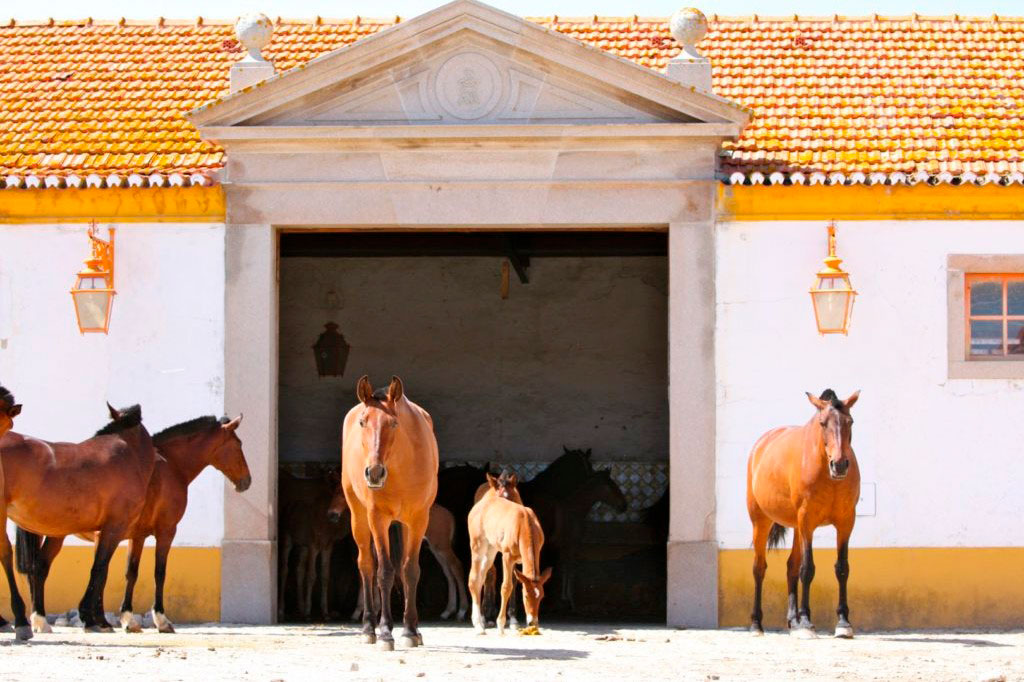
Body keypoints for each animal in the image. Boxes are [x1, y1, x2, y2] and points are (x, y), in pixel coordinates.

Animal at [18, 413, 249, 630]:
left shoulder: (136, 535)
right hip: (58, 534)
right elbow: (158, 572)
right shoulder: (166, 531)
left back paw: (39, 618)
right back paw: (40, 619)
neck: (171, 467)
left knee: (38, 569)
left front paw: (126, 618)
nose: (247, 481)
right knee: (41, 568)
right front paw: (160, 619)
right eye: (238, 444)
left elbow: (130, 572)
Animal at [342, 376, 438, 647]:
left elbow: (410, 570)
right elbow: (384, 571)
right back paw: (368, 628)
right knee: (366, 565)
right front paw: (385, 632)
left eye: (394, 423)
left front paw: (410, 630)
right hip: (359, 518)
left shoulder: (418, 520)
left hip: (403, 525)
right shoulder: (378, 518)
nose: (374, 473)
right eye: (363, 422)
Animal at [749, 387, 860, 638]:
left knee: (791, 567)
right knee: (759, 568)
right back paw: (757, 624)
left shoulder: (846, 523)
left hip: (796, 527)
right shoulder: (807, 522)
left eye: (850, 421)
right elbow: (807, 569)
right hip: (761, 521)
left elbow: (842, 568)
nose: (840, 465)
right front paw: (808, 622)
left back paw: (793, 621)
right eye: (822, 423)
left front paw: (843, 622)